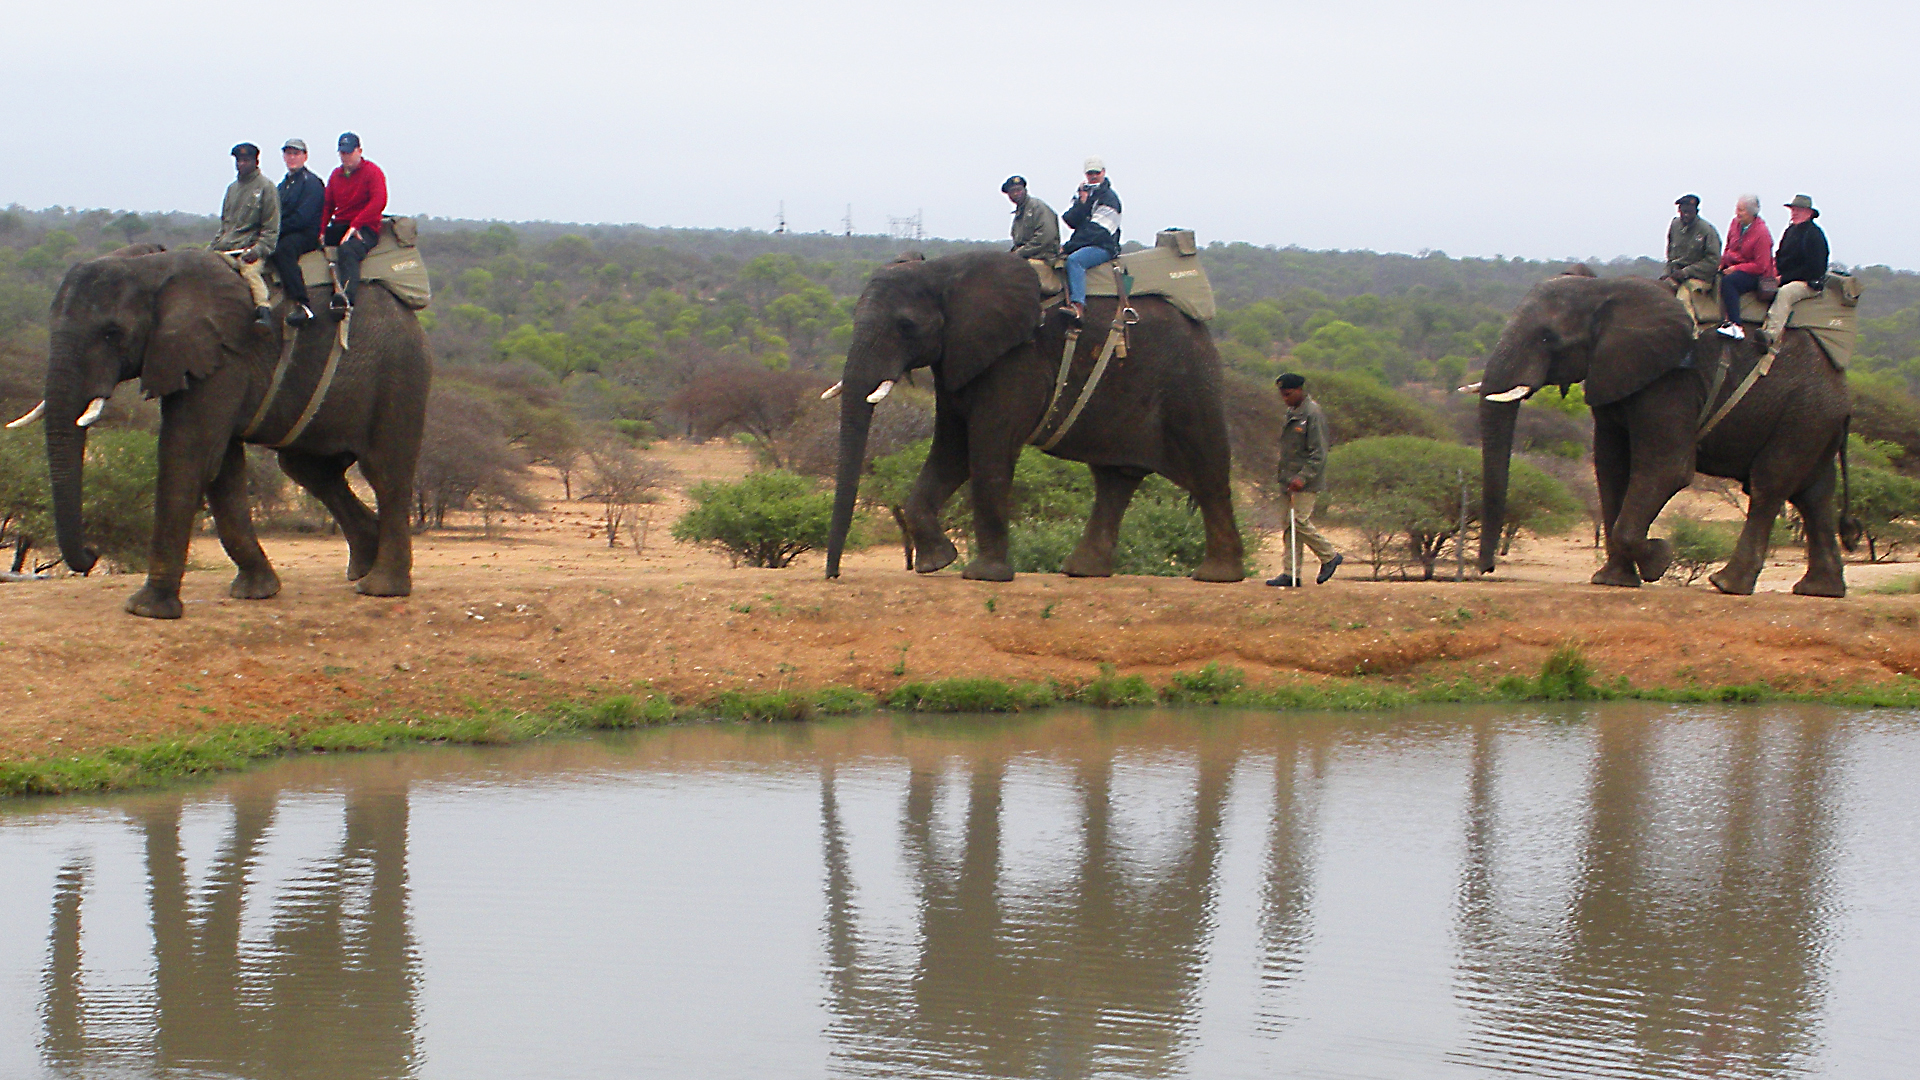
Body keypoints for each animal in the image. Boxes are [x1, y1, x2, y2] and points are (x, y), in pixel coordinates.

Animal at [24, 244, 431, 618]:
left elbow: (188, 455)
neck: (154, 267)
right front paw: (256, 593)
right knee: (310, 470)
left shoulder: (223, 356)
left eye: (112, 334)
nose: (92, 554)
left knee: (385, 473)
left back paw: (380, 588)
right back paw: (362, 566)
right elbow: (222, 469)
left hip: (399, 373)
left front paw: (147, 610)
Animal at [824, 250, 1243, 582]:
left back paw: (1217, 576)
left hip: (1189, 381)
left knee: (1207, 471)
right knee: (1115, 480)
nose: (834, 575)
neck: (946, 270)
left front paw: (984, 576)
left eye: (906, 325)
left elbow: (988, 448)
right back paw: (1082, 571)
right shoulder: (959, 355)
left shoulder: (1018, 358)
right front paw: (937, 564)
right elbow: (951, 449)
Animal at [1476, 274, 1854, 596]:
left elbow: (1667, 469)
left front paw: (1659, 560)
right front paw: (1612, 581)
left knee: (1769, 485)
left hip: (1804, 411)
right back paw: (1820, 590)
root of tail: (1842, 383)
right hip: (1813, 419)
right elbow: (1610, 470)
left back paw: (1726, 584)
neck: (1602, 289)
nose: (1487, 570)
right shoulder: (1614, 376)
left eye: (1547, 338)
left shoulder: (1672, 380)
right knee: (1814, 493)